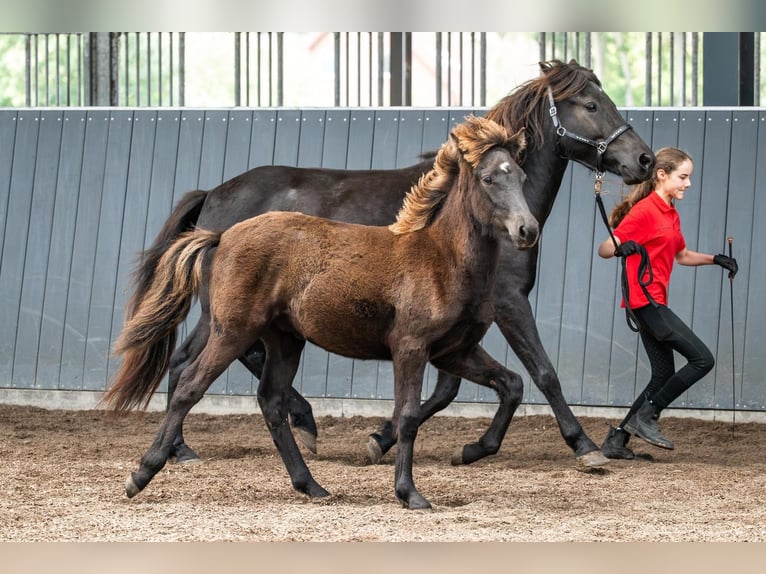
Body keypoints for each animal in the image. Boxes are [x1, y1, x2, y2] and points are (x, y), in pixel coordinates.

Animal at [104, 116, 535, 509]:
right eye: (488, 179)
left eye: (521, 176)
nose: (527, 230)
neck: (442, 258)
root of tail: (222, 236)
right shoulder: (410, 348)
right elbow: (408, 415)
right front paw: (409, 493)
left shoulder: (455, 351)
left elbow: (512, 384)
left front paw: (471, 450)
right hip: (232, 330)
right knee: (190, 385)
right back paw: (142, 474)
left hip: (284, 339)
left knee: (271, 402)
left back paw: (311, 484)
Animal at [127, 59, 655, 469]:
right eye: (591, 105)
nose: (645, 160)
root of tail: (214, 196)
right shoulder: (508, 304)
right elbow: (542, 373)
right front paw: (584, 445)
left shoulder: (460, 322)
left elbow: (456, 388)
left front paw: (393, 439)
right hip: (227, 310)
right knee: (195, 360)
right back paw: (194, 446)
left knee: (212, 359)